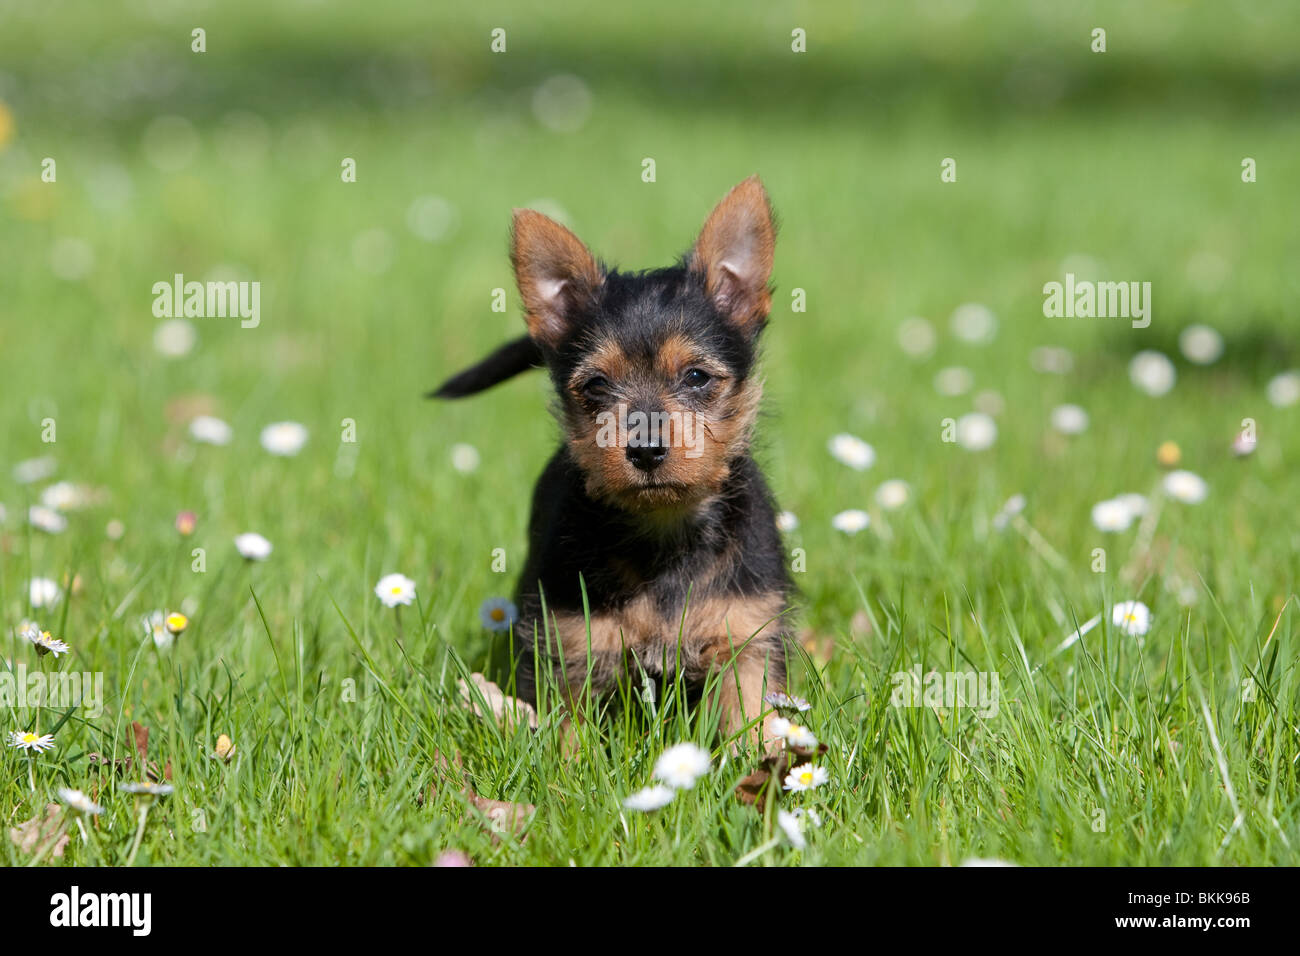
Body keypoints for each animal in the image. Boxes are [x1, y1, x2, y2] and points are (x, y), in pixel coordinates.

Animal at [431, 178, 785, 749]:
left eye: (696, 377)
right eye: (597, 385)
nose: (645, 449)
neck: (664, 533)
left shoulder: (746, 642)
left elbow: (753, 722)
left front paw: (762, 766)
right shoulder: (569, 649)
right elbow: (567, 737)